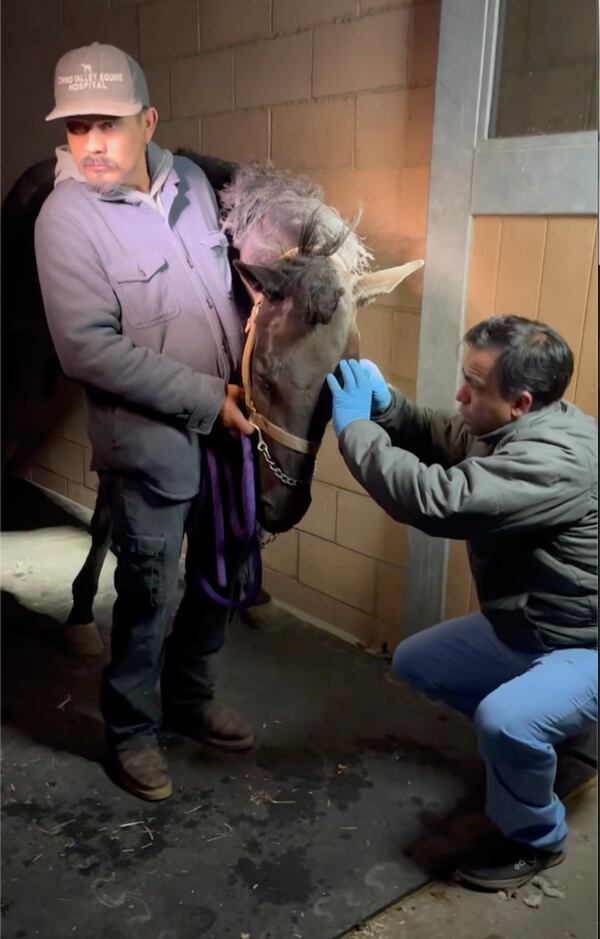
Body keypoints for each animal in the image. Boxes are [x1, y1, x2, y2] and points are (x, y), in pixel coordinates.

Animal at [1, 151, 422, 644]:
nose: (283, 509)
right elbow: (109, 502)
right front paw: (82, 610)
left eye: (342, 382)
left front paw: (249, 592)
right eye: (264, 374)